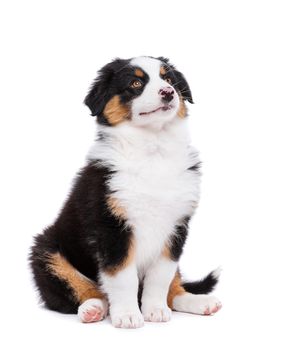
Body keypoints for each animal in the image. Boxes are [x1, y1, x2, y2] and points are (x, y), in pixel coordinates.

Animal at [29, 56, 220, 326]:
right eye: (136, 83)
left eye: (168, 79)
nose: (168, 92)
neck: (152, 149)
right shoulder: (111, 227)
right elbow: (122, 277)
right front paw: (129, 315)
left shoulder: (176, 228)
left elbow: (161, 277)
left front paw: (155, 310)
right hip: (46, 251)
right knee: (80, 290)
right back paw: (93, 309)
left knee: (175, 286)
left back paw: (199, 302)